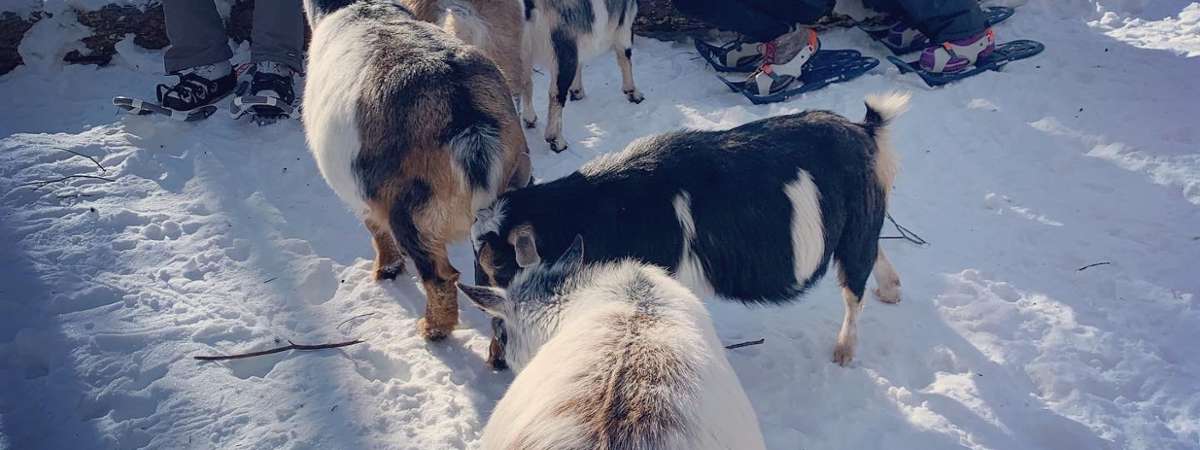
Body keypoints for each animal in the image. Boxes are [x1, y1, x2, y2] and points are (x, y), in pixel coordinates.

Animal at [300, 0, 530, 340]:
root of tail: (468, 120)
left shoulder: (365, 195)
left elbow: (375, 229)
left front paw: (387, 269)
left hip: (413, 213)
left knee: (440, 277)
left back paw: (431, 329)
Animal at [472, 93, 902, 367]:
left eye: (501, 266)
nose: (496, 361)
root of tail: (865, 131)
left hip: (857, 228)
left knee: (853, 287)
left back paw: (844, 353)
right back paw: (892, 291)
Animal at [520, 0, 643, 152]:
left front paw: (577, 92)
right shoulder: (623, 25)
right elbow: (625, 57)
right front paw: (633, 94)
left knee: (525, 82)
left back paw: (529, 119)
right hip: (562, 48)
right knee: (556, 93)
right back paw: (557, 141)